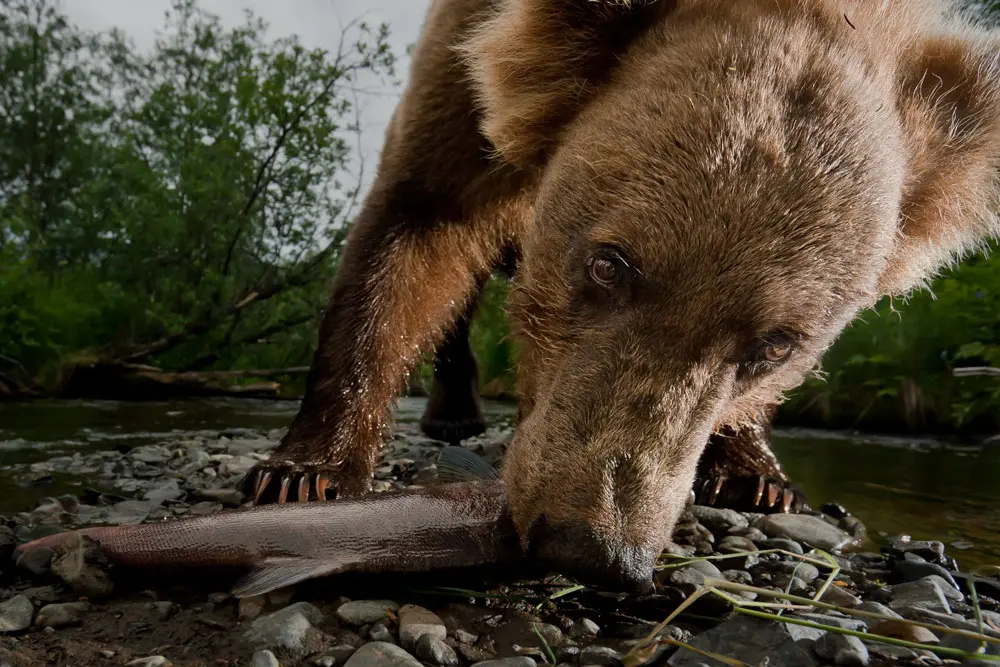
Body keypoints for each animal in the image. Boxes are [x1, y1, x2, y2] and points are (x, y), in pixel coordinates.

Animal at [242, 0, 1000, 590]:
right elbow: (412, 231)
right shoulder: (461, 79)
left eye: (778, 342)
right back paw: (452, 411)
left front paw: (758, 474)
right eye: (609, 265)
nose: (593, 544)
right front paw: (304, 471)